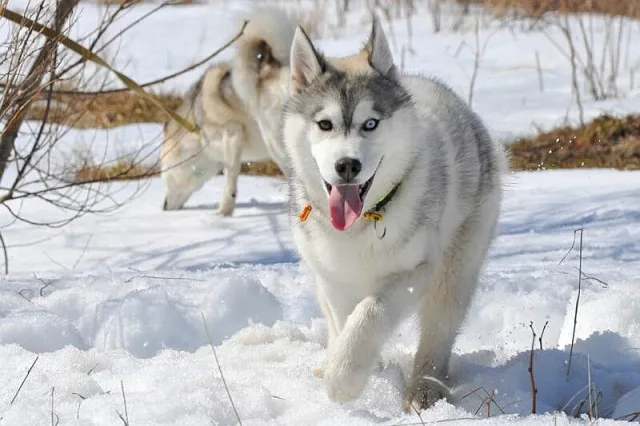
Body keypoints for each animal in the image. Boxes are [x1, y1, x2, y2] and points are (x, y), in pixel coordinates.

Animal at [161, 8, 296, 214]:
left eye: (163, 175)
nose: (164, 207)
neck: (195, 125)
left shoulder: (232, 134)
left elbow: (230, 178)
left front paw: (223, 213)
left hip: (276, 143)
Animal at [281, 18, 507, 411]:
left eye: (370, 123)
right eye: (324, 124)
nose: (347, 165)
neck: (362, 224)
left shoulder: (414, 272)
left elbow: (370, 315)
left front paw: (345, 379)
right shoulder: (331, 276)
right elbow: (344, 320)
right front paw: (347, 367)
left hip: (456, 268)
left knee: (438, 329)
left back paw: (424, 391)